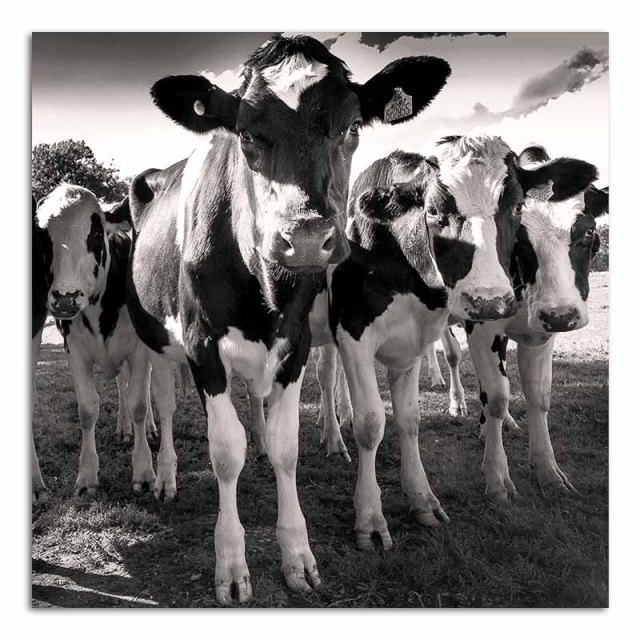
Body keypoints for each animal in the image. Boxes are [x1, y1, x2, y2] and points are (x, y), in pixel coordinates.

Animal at [32, 184, 157, 497]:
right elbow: (88, 409)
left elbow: (139, 403)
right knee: (122, 385)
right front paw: (87, 474)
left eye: (96, 233)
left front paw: (144, 472)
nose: (65, 298)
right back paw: (123, 428)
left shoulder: (139, 349)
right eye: (43, 236)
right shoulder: (74, 350)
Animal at [122, 34, 452, 604]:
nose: (305, 239)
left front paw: (297, 554)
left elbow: (285, 447)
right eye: (246, 134)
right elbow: (224, 451)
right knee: (158, 403)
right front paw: (231, 564)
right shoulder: (201, 345)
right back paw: (159, 475)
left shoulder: (295, 343)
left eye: (351, 127)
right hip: (156, 339)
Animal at [424, 144, 608, 499]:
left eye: (589, 231)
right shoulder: (482, 327)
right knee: (448, 354)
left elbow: (537, 395)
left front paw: (548, 471)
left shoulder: (541, 334)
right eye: (521, 238)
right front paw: (497, 478)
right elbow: (496, 395)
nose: (562, 315)